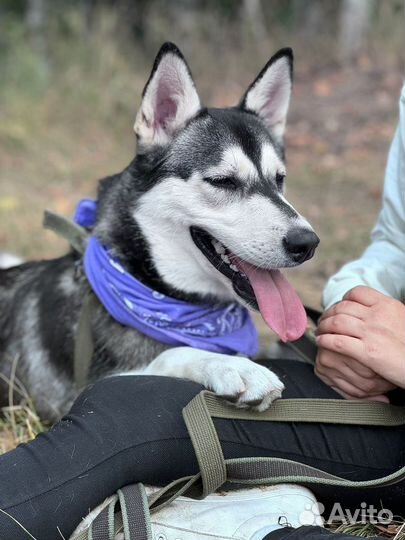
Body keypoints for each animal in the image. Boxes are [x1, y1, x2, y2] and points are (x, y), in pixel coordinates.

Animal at [0, 43, 318, 422]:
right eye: (223, 181)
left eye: (279, 179)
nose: (307, 243)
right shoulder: (80, 392)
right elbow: (171, 353)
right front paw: (233, 365)